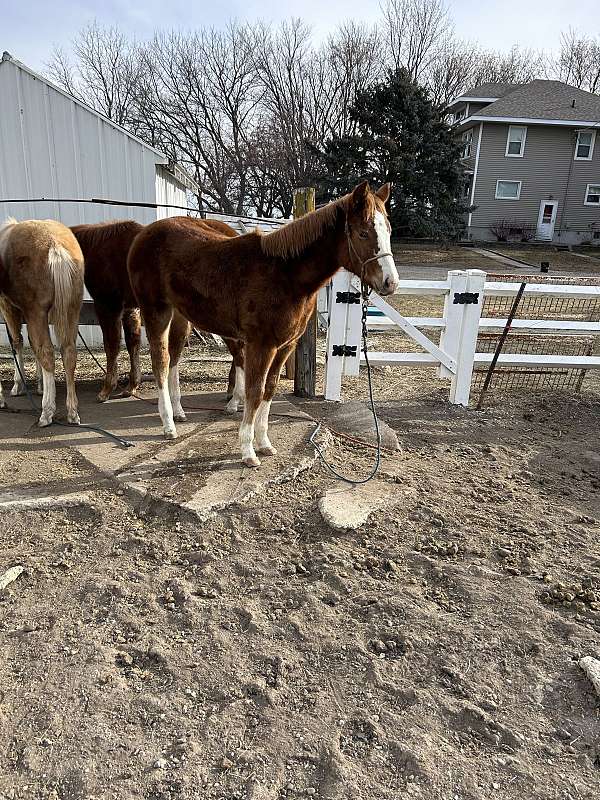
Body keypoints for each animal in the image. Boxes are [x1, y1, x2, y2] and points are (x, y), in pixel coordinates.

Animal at [0, 219, 84, 428]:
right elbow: (30, 342)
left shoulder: (8, 306)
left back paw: (47, 412)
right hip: (71, 309)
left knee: (46, 351)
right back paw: (72, 412)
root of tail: (55, 245)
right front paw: (38, 385)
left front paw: (16, 386)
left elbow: (18, 342)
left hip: (36, 311)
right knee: (68, 352)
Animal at [71, 217, 245, 410]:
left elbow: (112, 345)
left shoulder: (108, 305)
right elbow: (133, 344)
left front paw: (106, 390)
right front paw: (131, 386)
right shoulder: (130, 308)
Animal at [126, 180, 398, 468]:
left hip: (181, 316)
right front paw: (248, 450)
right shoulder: (261, 345)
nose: (390, 282)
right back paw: (168, 424)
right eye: (363, 233)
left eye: (388, 229)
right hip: (156, 312)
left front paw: (264, 443)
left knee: (174, 358)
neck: (286, 275)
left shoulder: (285, 346)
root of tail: (144, 234)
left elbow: (270, 388)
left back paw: (178, 412)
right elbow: (254, 391)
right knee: (160, 362)